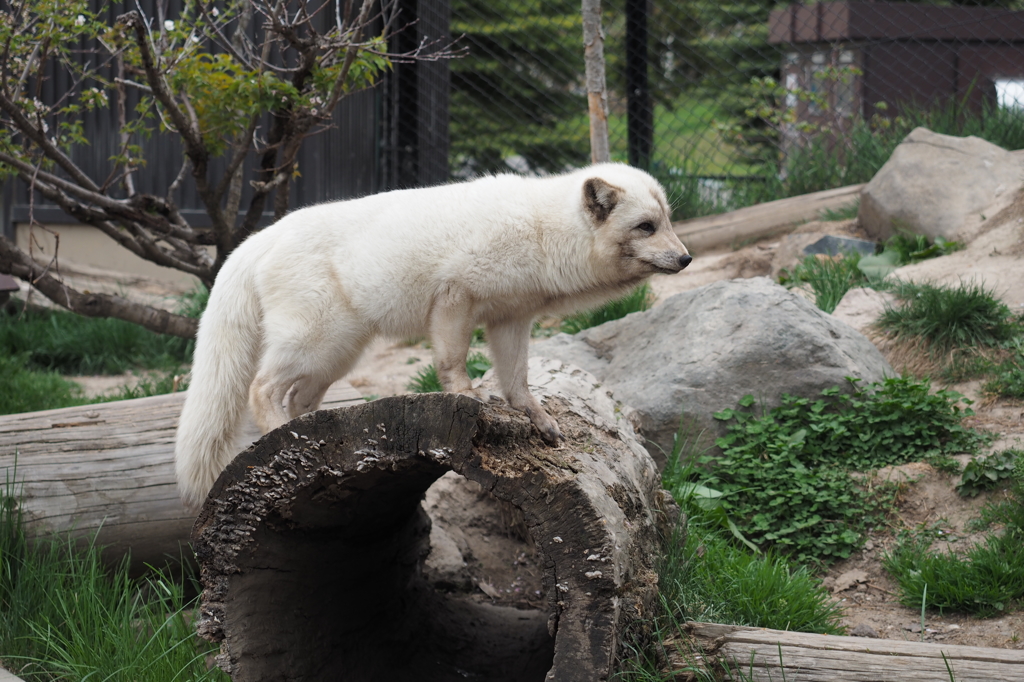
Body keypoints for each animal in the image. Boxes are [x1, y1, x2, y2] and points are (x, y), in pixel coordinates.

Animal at [174, 161, 688, 507]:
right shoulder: (454, 299)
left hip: (337, 355)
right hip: (314, 343)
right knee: (260, 388)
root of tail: (259, 238)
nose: (685, 258)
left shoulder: (510, 320)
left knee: (299, 399)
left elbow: (518, 382)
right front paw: (468, 398)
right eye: (646, 226)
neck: (540, 231)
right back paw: (279, 433)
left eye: (668, 220)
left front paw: (538, 421)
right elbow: (453, 364)